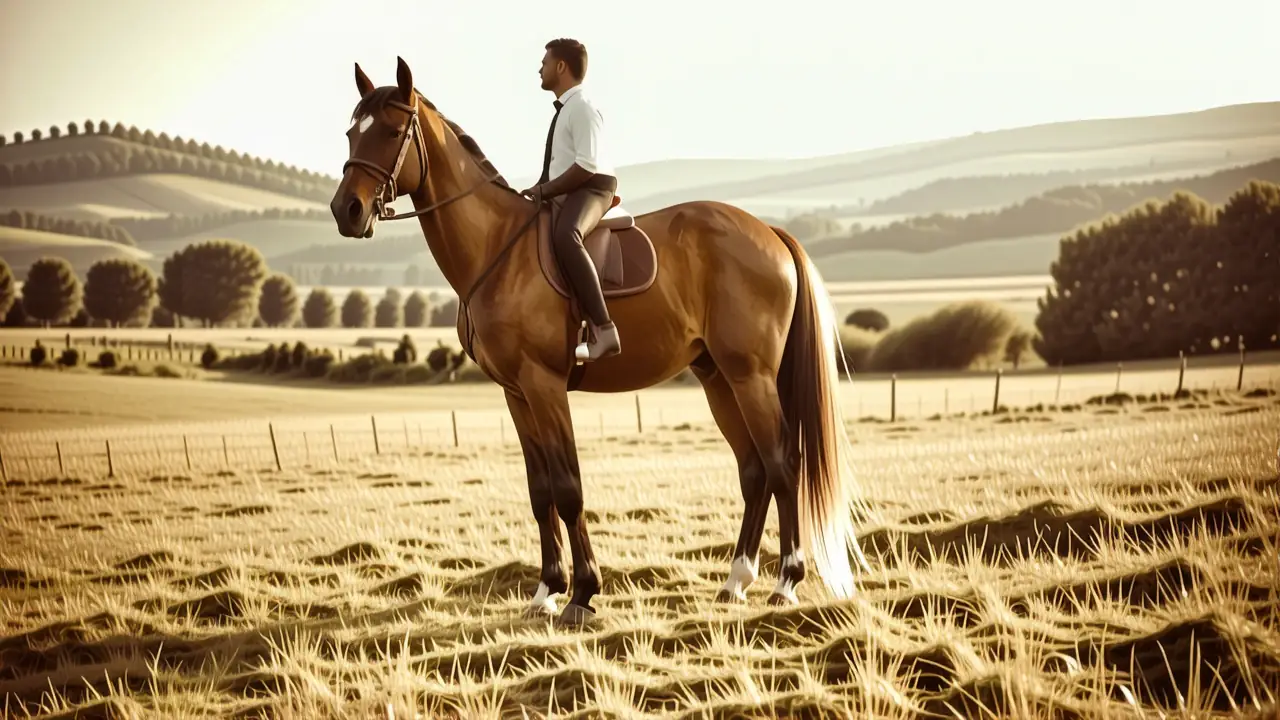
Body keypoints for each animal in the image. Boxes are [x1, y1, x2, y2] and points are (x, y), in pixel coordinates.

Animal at [329, 56, 867, 626]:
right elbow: (539, 490)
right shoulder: (515, 393)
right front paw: (545, 591)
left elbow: (568, 489)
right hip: (719, 378)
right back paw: (735, 581)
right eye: (351, 132)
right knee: (754, 469)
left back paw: (786, 582)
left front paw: (582, 594)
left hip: (752, 376)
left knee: (783, 464)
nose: (347, 211)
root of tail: (768, 232)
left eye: (391, 132)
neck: (496, 248)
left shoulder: (544, 385)